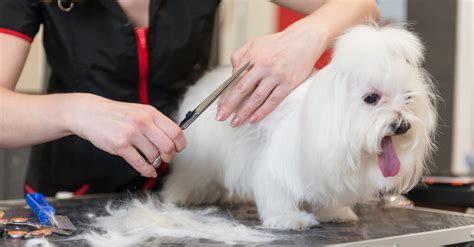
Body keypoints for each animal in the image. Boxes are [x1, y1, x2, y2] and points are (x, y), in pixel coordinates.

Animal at [161, 24, 438, 231]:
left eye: (408, 97)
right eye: (371, 98)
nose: (402, 125)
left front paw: (334, 212)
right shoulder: (276, 163)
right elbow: (277, 194)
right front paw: (288, 219)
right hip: (199, 160)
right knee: (188, 177)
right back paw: (179, 195)